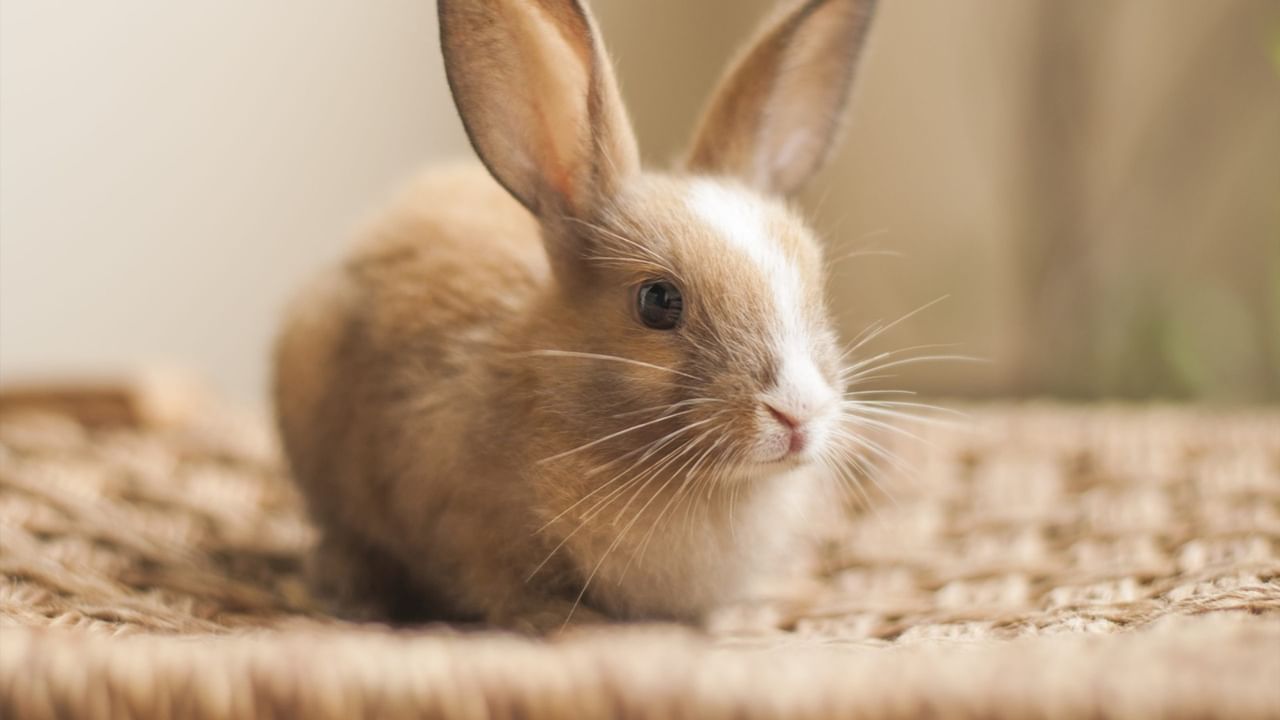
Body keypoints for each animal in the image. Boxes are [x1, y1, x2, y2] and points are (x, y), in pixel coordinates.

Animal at [272, 0, 880, 627]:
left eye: (816, 282)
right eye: (658, 301)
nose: (798, 411)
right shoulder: (469, 533)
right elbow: (505, 591)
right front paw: (569, 624)